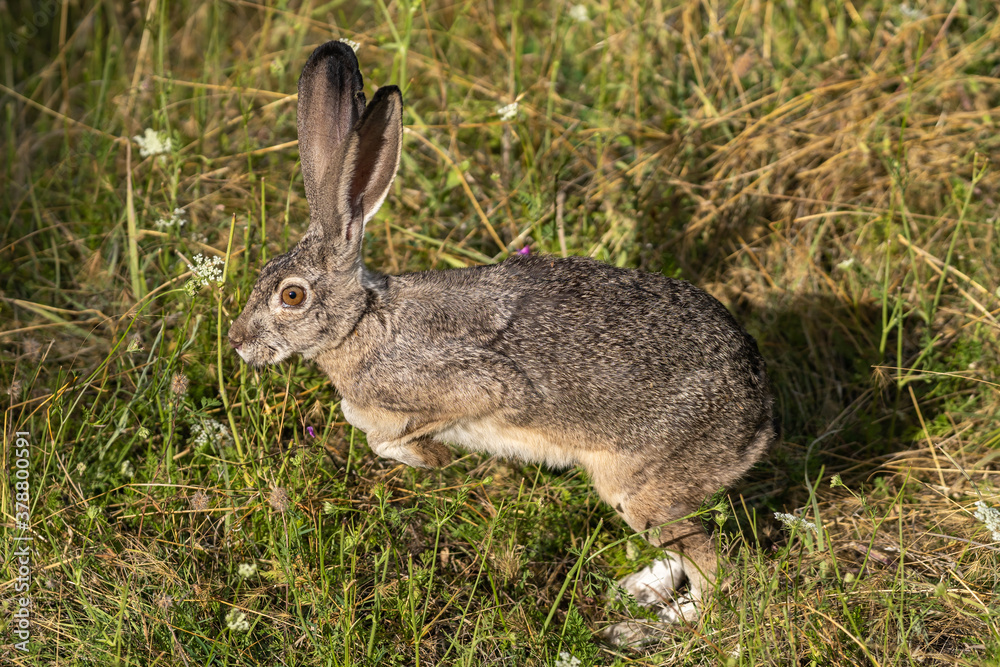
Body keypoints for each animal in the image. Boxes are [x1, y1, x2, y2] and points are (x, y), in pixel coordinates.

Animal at [228, 40, 779, 645]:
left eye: (292, 296)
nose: (237, 342)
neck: (363, 322)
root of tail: (758, 416)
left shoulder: (473, 385)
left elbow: (393, 432)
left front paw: (428, 457)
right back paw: (639, 589)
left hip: (640, 485)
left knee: (717, 573)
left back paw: (648, 628)